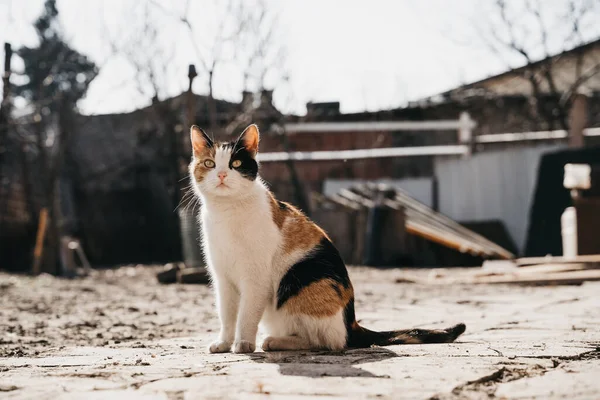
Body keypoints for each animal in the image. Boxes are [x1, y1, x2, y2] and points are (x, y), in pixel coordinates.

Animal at [190, 122, 466, 354]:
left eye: (236, 164)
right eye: (210, 164)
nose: (222, 175)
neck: (227, 212)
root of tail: (352, 323)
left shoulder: (256, 278)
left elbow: (246, 314)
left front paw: (243, 344)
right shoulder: (222, 278)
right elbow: (227, 315)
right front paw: (223, 343)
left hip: (301, 280)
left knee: (327, 341)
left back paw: (274, 342)